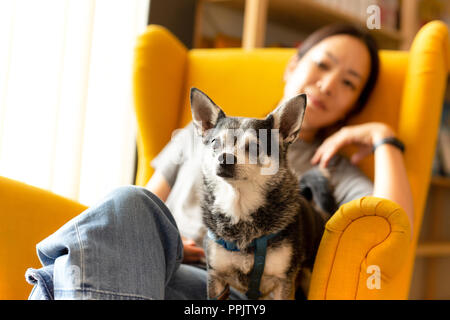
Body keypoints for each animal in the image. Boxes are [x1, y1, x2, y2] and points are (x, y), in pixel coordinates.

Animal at [189, 87, 334, 300]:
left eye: (255, 147)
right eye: (215, 143)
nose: (225, 158)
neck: (239, 208)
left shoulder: (283, 283)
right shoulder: (216, 279)